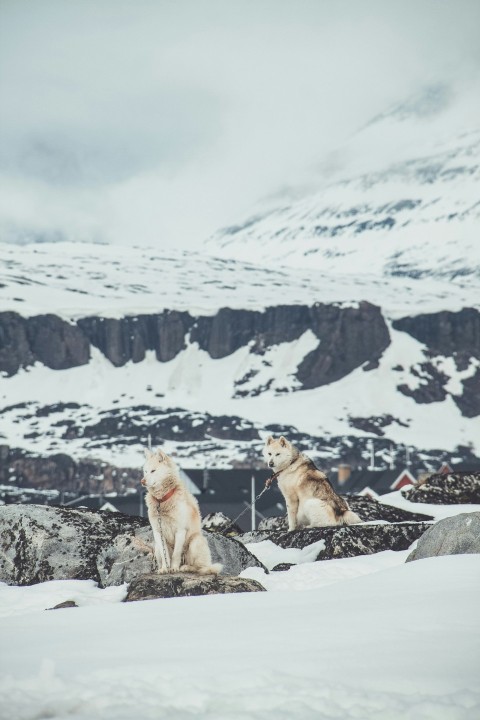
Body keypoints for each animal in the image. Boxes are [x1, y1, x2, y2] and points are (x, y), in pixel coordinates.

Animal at [140, 448, 220, 576]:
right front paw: (165, 569)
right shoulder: (158, 532)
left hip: (195, 542)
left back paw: (186, 567)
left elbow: (176, 554)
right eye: (145, 471)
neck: (162, 501)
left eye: (153, 471)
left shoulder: (180, 530)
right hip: (157, 547)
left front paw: (174, 568)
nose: (142, 481)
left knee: (199, 567)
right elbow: (166, 557)